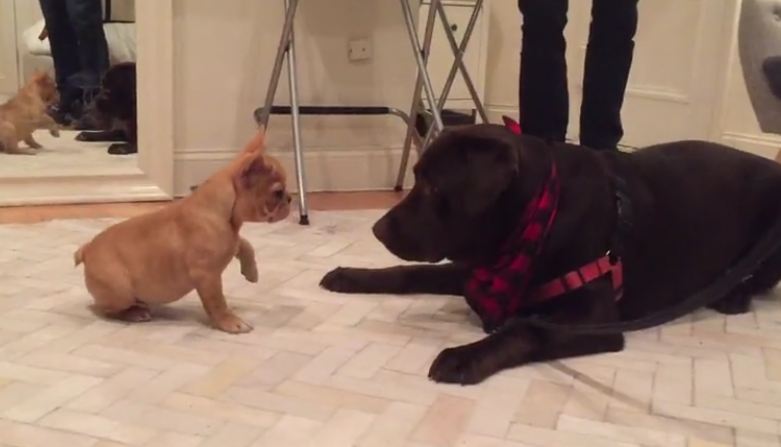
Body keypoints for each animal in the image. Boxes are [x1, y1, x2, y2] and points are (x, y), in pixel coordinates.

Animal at [74, 129, 290, 332]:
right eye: (278, 193)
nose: (289, 199)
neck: (222, 211)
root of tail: (87, 250)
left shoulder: (231, 239)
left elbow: (245, 243)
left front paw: (251, 272)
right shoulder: (207, 276)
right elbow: (217, 302)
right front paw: (230, 322)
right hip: (120, 289)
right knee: (106, 309)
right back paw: (135, 313)